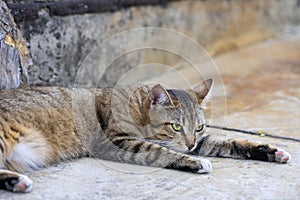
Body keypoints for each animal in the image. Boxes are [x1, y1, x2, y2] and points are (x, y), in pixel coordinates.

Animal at [0, 79, 290, 192]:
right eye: (175, 126)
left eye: (198, 128)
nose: (190, 144)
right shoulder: (117, 141)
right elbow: (159, 151)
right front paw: (195, 162)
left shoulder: (200, 142)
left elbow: (229, 141)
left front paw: (270, 150)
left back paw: (15, 181)